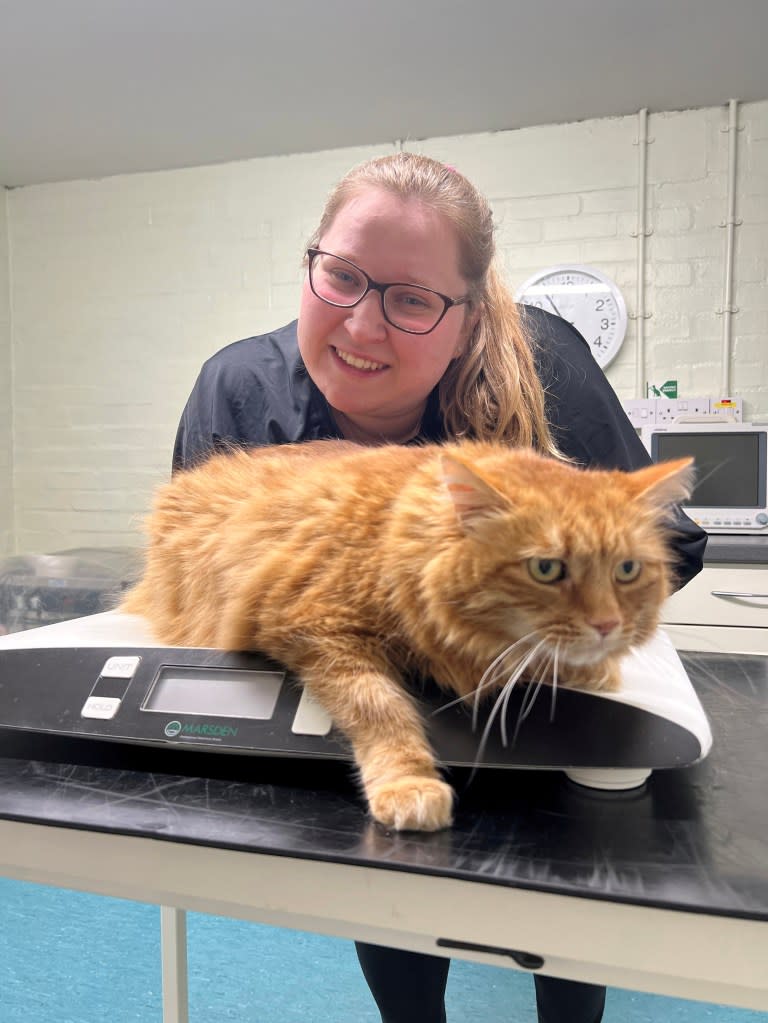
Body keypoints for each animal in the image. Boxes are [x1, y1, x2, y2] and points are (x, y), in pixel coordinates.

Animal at [123, 439, 695, 830]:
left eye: (626, 571)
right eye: (547, 569)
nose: (607, 625)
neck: (393, 541)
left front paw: (594, 669)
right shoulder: (317, 627)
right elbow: (382, 709)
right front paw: (409, 784)